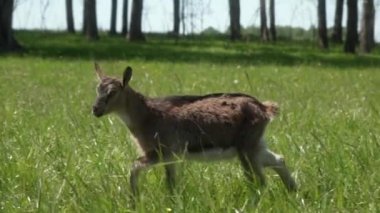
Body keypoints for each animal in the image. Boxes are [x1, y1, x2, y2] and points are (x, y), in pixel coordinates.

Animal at [91, 62, 296, 198]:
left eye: (112, 92)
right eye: (97, 89)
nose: (95, 110)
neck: (146, 115)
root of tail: (264, 108)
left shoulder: (162, 151)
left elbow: (135, 166)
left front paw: (134, 199)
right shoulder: (171, 157)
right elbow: (171, 183)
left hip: (246, 148)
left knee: (259, 180)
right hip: (255, 144)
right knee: (278, 160)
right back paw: (293, 191)